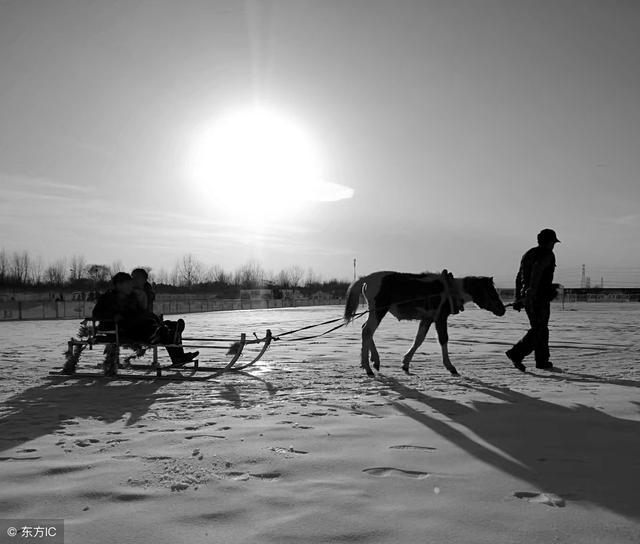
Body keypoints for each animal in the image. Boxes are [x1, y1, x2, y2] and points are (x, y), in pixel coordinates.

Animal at [344, 268, 504, 378]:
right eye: (491, 291)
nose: (502, 309)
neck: (451, 290)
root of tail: (367, 278)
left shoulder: (427, 319)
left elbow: (418, 340)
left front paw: (405, 363)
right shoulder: (440, 318)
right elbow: (443, 339)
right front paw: (450, 366)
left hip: (376, 311)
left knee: (366, 330)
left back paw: (375, 361)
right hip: (379, 311)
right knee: (367, 331)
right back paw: (368, 368)